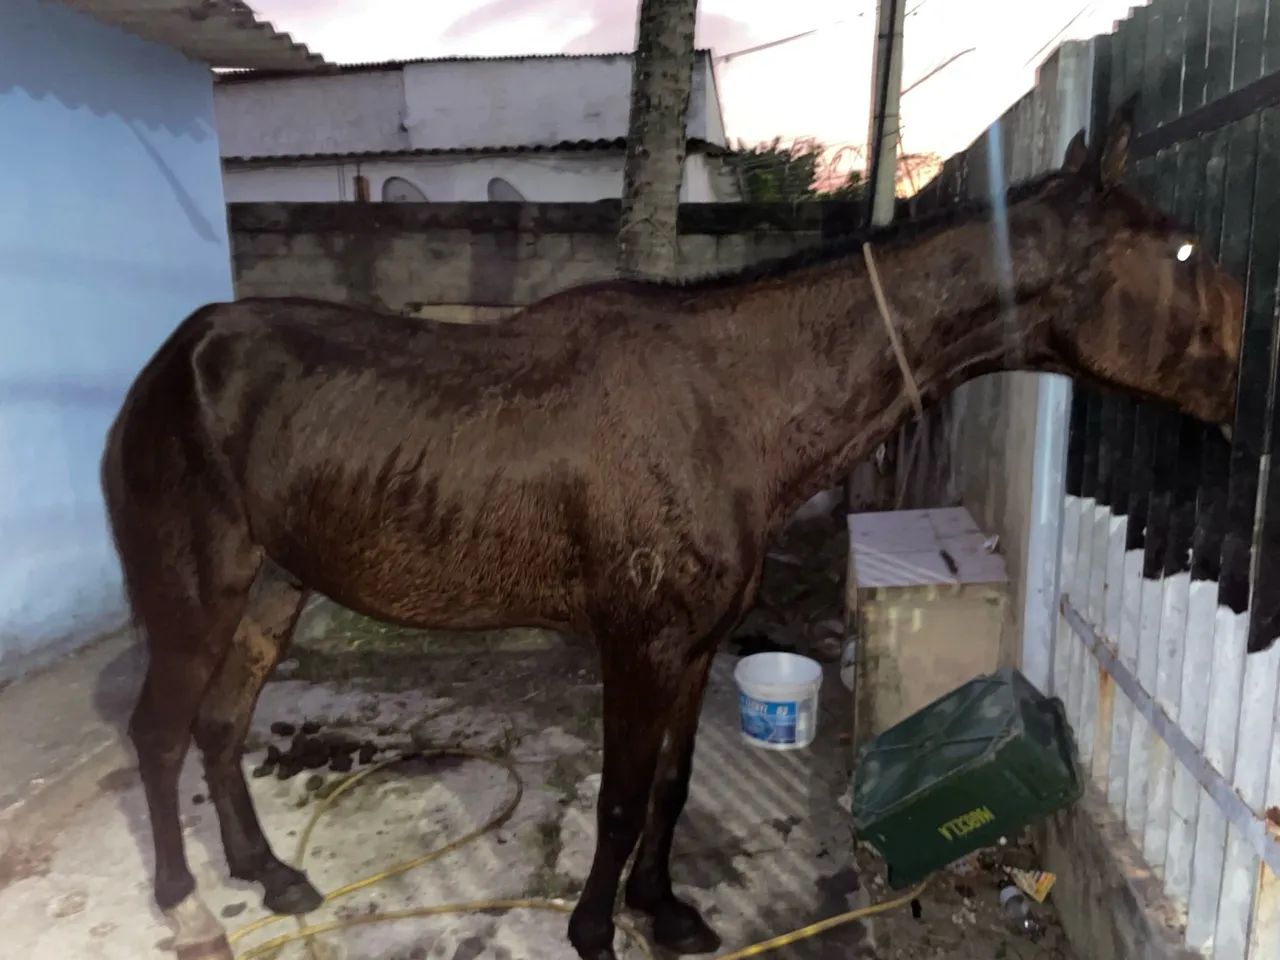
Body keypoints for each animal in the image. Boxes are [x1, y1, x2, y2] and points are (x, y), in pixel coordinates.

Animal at [101, 105, 1241, 960]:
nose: (1238, 372)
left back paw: (269, 873)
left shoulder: (695, 644)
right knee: (159, 735)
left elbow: (672, 786)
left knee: (220, 729)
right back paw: (185, 904)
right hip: (195, 595)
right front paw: (594, 930)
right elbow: (617, 798)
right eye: (1180, 245)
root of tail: (169, 365)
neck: (728, 403)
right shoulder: (638, 645)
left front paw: (663, 911)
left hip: (272, 587)